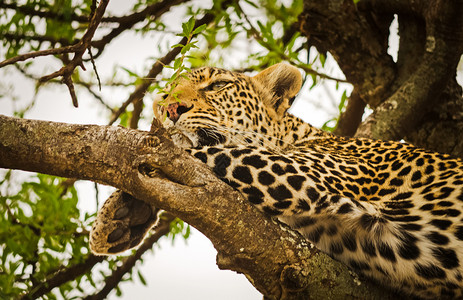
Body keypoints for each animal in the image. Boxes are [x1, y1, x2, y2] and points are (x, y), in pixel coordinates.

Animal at [89, 62, 463, 298]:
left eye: (218, 85)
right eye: (167, 93)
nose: (168, 109)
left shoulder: (300, 175)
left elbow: (199, 151)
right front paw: (120, 217)